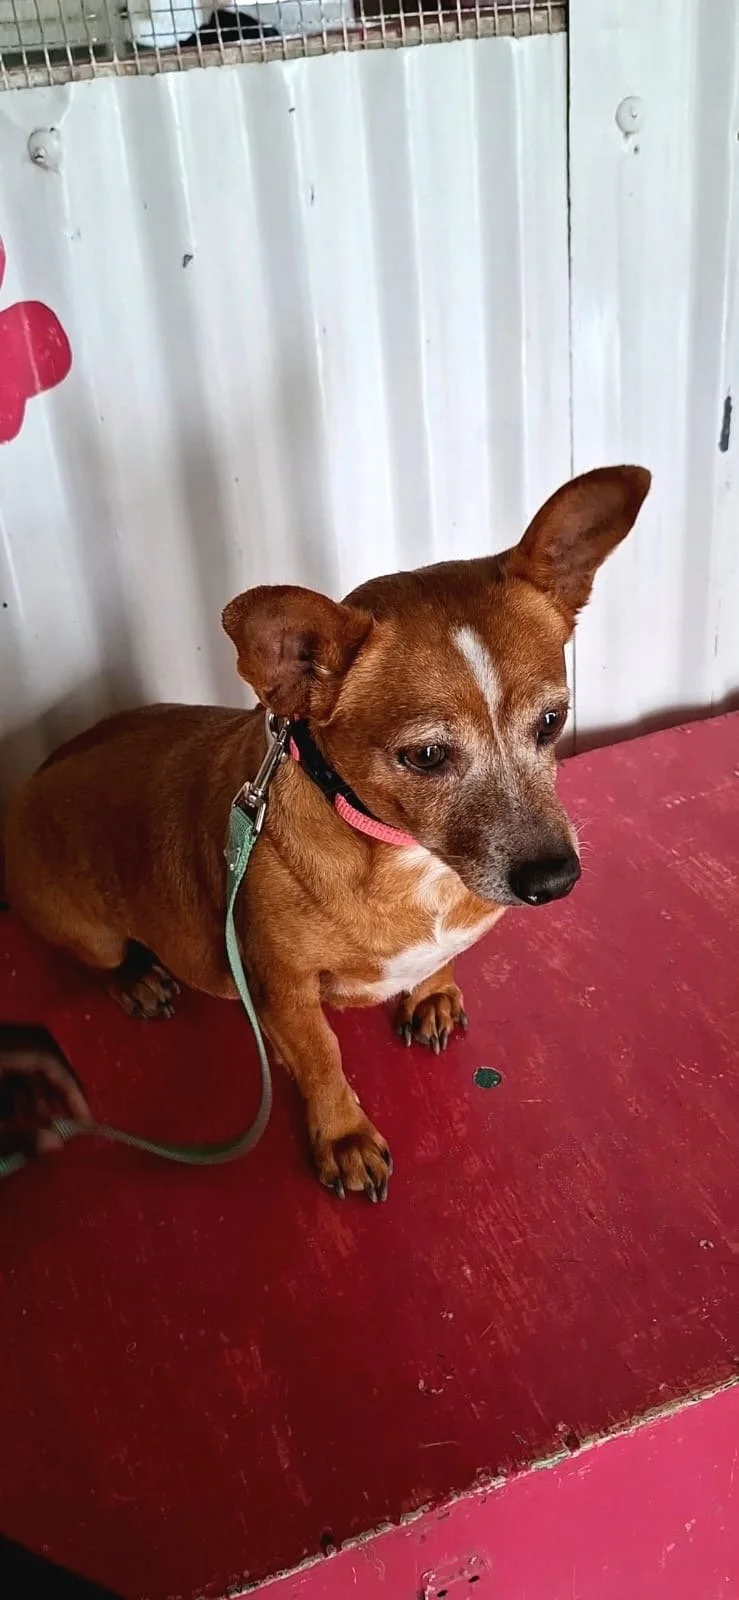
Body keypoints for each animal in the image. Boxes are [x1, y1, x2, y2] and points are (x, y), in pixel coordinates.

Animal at [3, 466, 651, 1200]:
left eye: (551, 721)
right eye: (427, 756)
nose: (556, 879)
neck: (409, 861)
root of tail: (35, 775)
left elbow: (436, 964)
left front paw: (432, 990)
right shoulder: (283, 996)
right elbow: (322, 1062)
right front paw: (342, 1137)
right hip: (87, 930)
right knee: (98, 958)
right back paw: (137, 978)